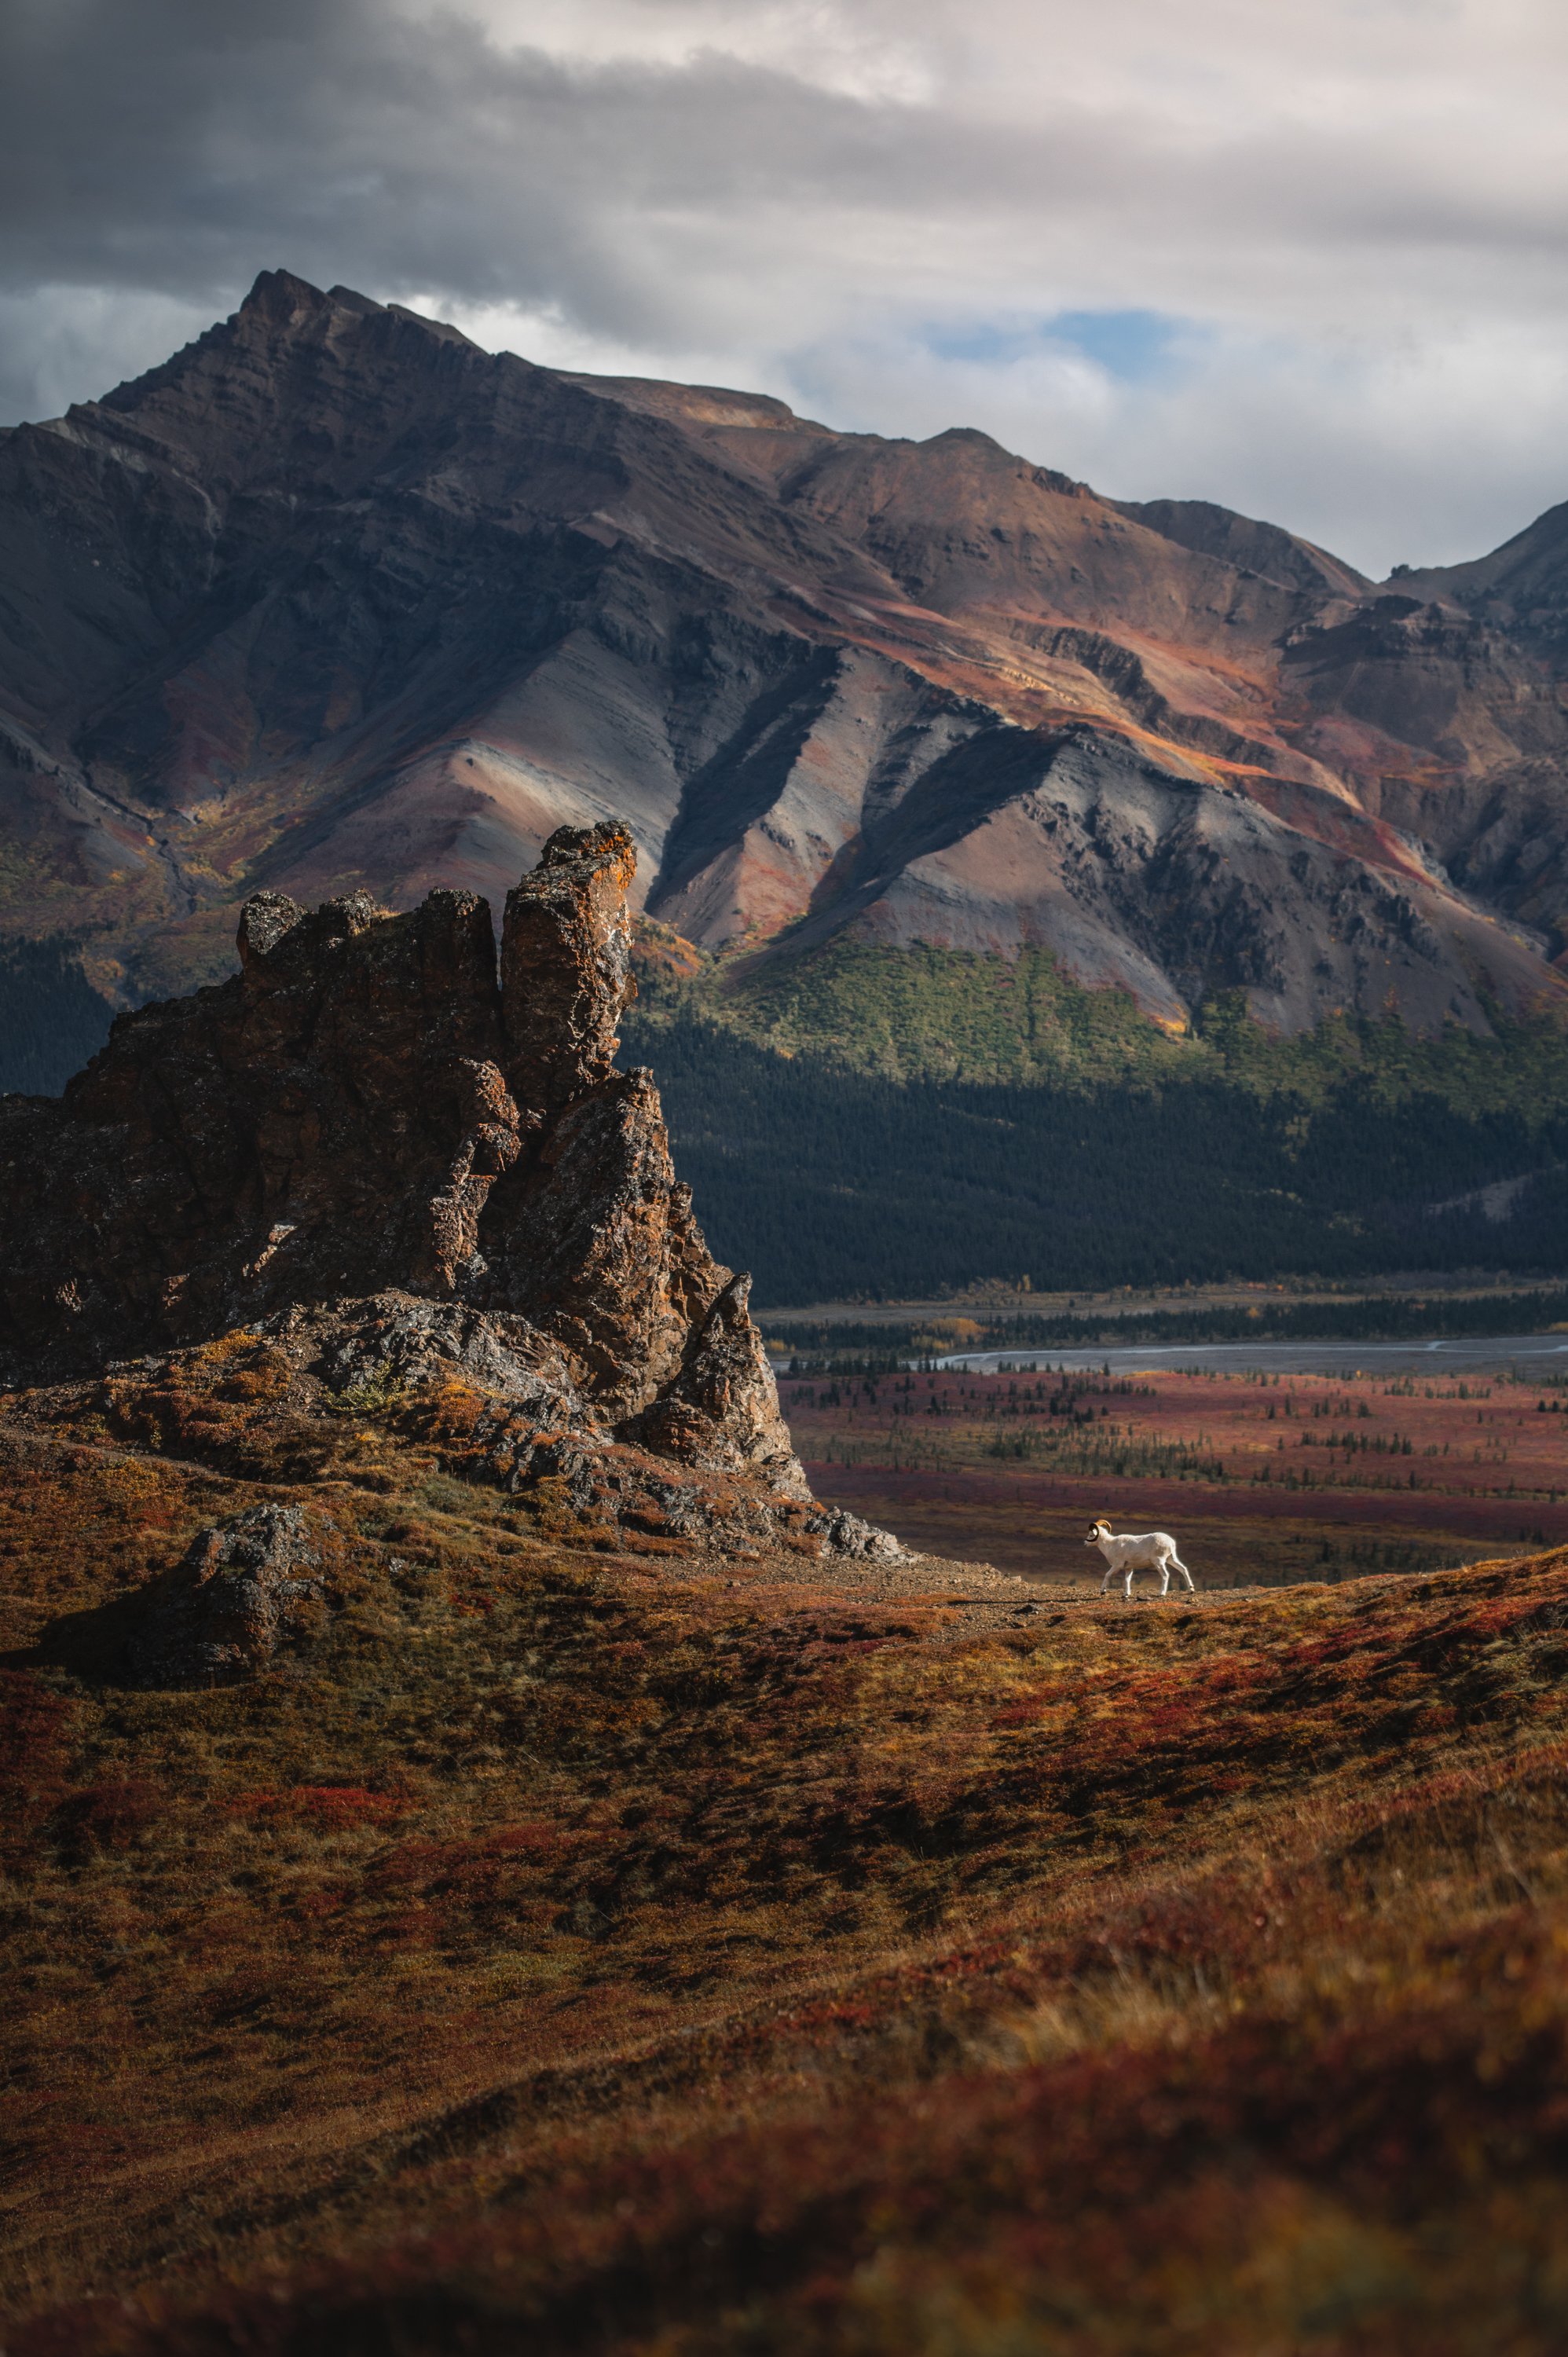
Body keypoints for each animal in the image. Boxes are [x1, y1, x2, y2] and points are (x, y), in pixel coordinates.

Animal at [1084, 1508, 1192, 1603]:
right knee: (1183, 1569)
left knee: (1165, 1575)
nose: (1085, 1543)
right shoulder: (1128, 1568)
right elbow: (1127, 1580)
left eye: (1091, 1535)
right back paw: (1191, 1590)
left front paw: (1103, 1591)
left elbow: (1107, 1575)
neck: (1110, 1545)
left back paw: (1162, 1593)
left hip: (1159, 1562)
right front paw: (1126, 1595)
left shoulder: (1117, 1566)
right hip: (1171, 1559)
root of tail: (1171, 1542)